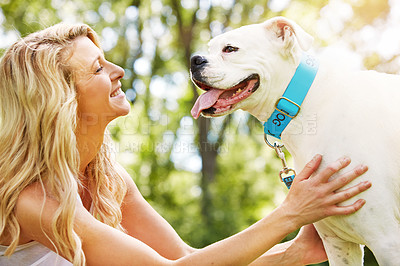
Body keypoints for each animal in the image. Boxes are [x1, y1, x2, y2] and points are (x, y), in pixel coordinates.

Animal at [190, 16, 400, 264]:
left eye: (230, 49)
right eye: (210, 48)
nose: (194, 60)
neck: (304, 102)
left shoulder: (387, 242)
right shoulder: (338, 244)